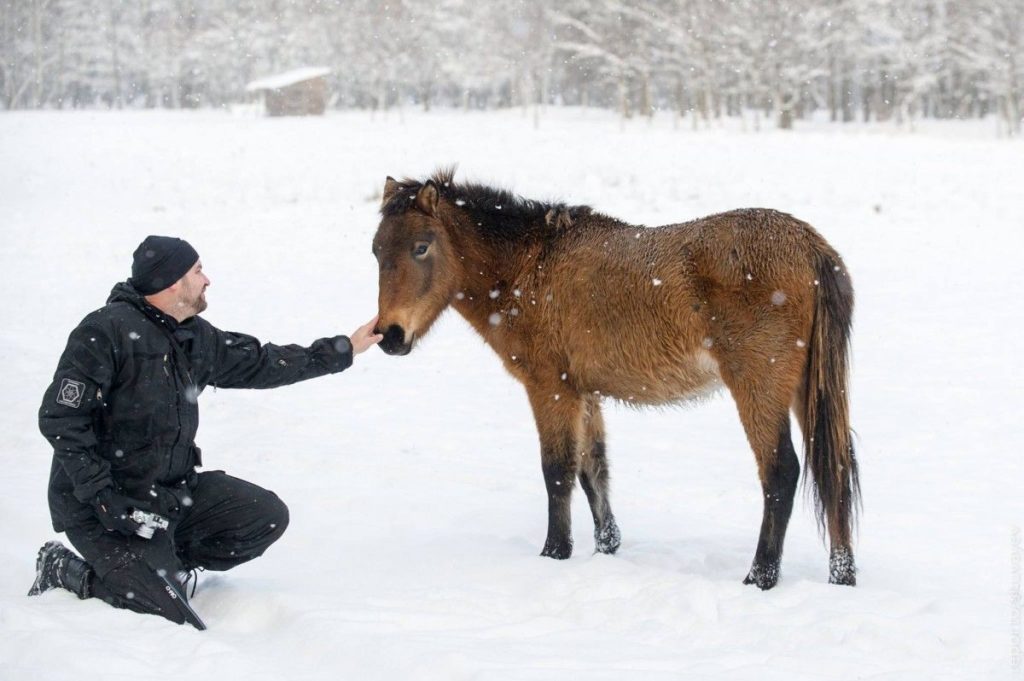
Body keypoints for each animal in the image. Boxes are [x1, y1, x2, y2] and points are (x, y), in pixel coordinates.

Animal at [372, 166, 860, 585]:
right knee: (833, 469)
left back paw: (760, 578)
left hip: (759, 387)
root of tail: (813, 249)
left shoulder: (550, 389)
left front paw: (555, 553)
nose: (389, 335)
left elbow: (558, 471)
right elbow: (594, 470)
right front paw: (607, 547)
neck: (529, 267)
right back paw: (842, 576)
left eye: (421, 247)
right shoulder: (585, 392)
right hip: (806, 388)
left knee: (781, 473)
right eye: (377, 250)